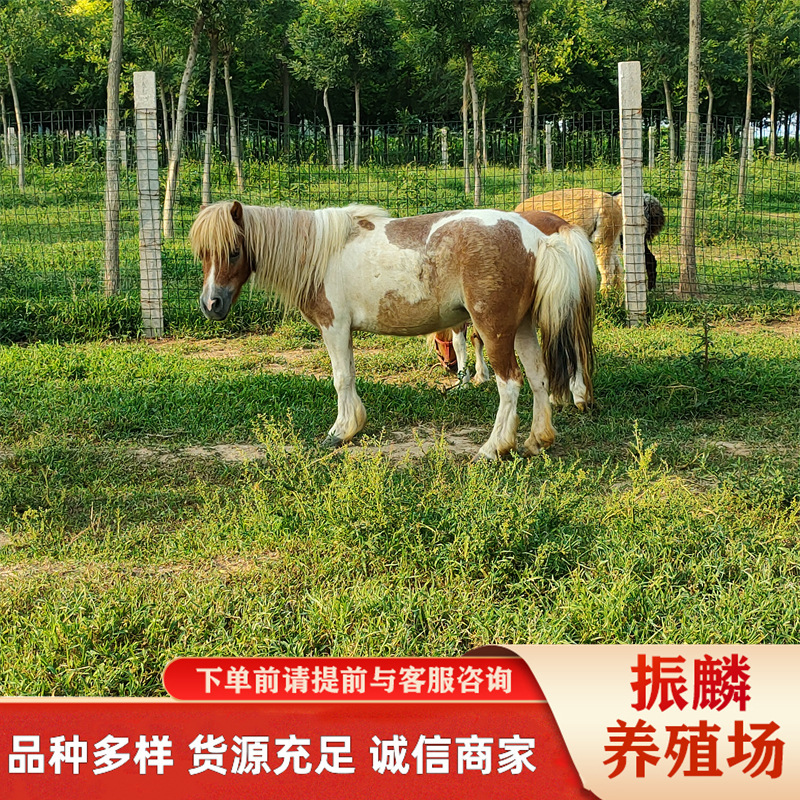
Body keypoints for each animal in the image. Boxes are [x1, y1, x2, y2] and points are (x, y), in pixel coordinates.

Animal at [433, 208, 597, 411]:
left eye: (437, 346)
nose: (450, 367)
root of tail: (562, 226)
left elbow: (460, 343)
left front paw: (464, 381)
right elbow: (477, 339)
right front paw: (481, 374)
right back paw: (579, 395)